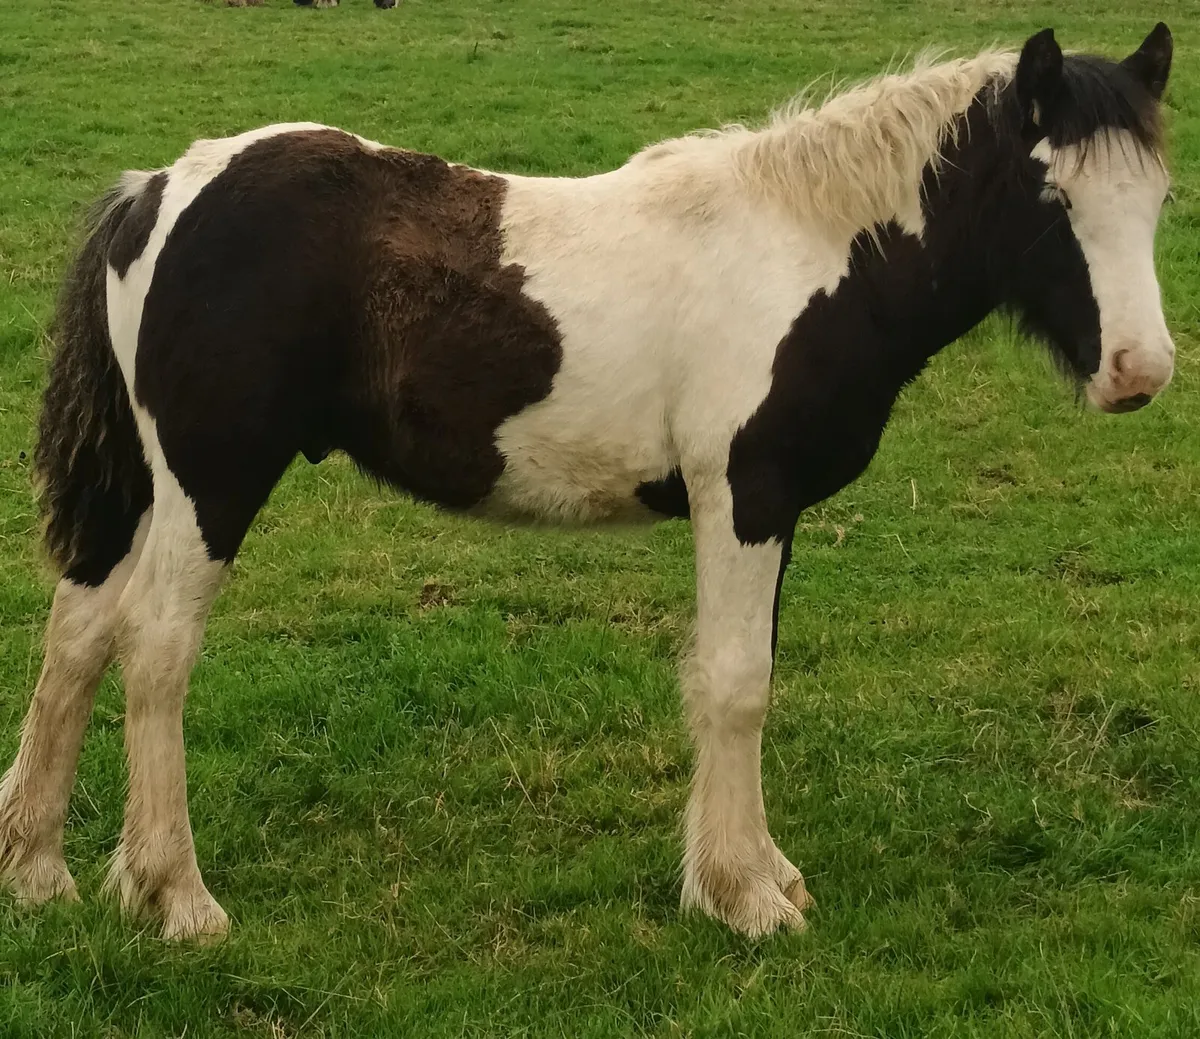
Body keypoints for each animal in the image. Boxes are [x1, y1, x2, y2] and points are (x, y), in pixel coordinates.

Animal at [0, 24, 1175, 940]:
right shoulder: (743, 495)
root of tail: (157, 193)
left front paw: (757, 871)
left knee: (80, 633)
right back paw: (176, 897)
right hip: (213, 480)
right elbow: (737, 683)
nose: (1140, 371)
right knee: (156, 648)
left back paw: (41, 872)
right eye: (1049, 194)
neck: (809, 253)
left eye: (1159, 195)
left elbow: (741, 673)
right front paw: (745, 898)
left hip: (144, 491)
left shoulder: (771, 509)